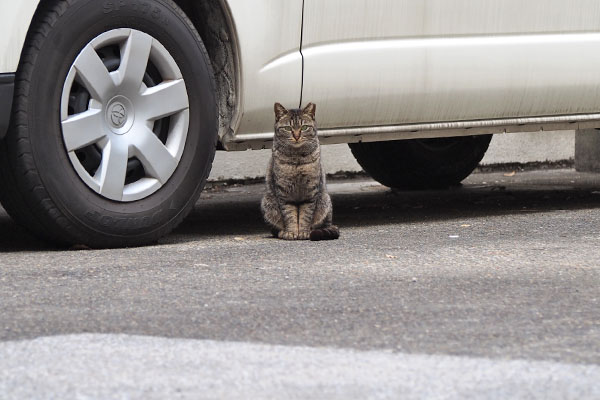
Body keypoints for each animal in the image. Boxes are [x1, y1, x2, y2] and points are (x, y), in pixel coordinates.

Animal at [262, 102, 340, 241]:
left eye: (304, 127)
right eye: (288, 128)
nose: (297, 136)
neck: (297, 159)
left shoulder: (310, 193)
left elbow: (305, 215)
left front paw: (303, 232)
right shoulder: (284, 194)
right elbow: (290, 215)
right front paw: (291, 232)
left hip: (325, 202)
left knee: (327, 225)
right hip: (268, 204)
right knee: (275, 228)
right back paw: (282, 232)